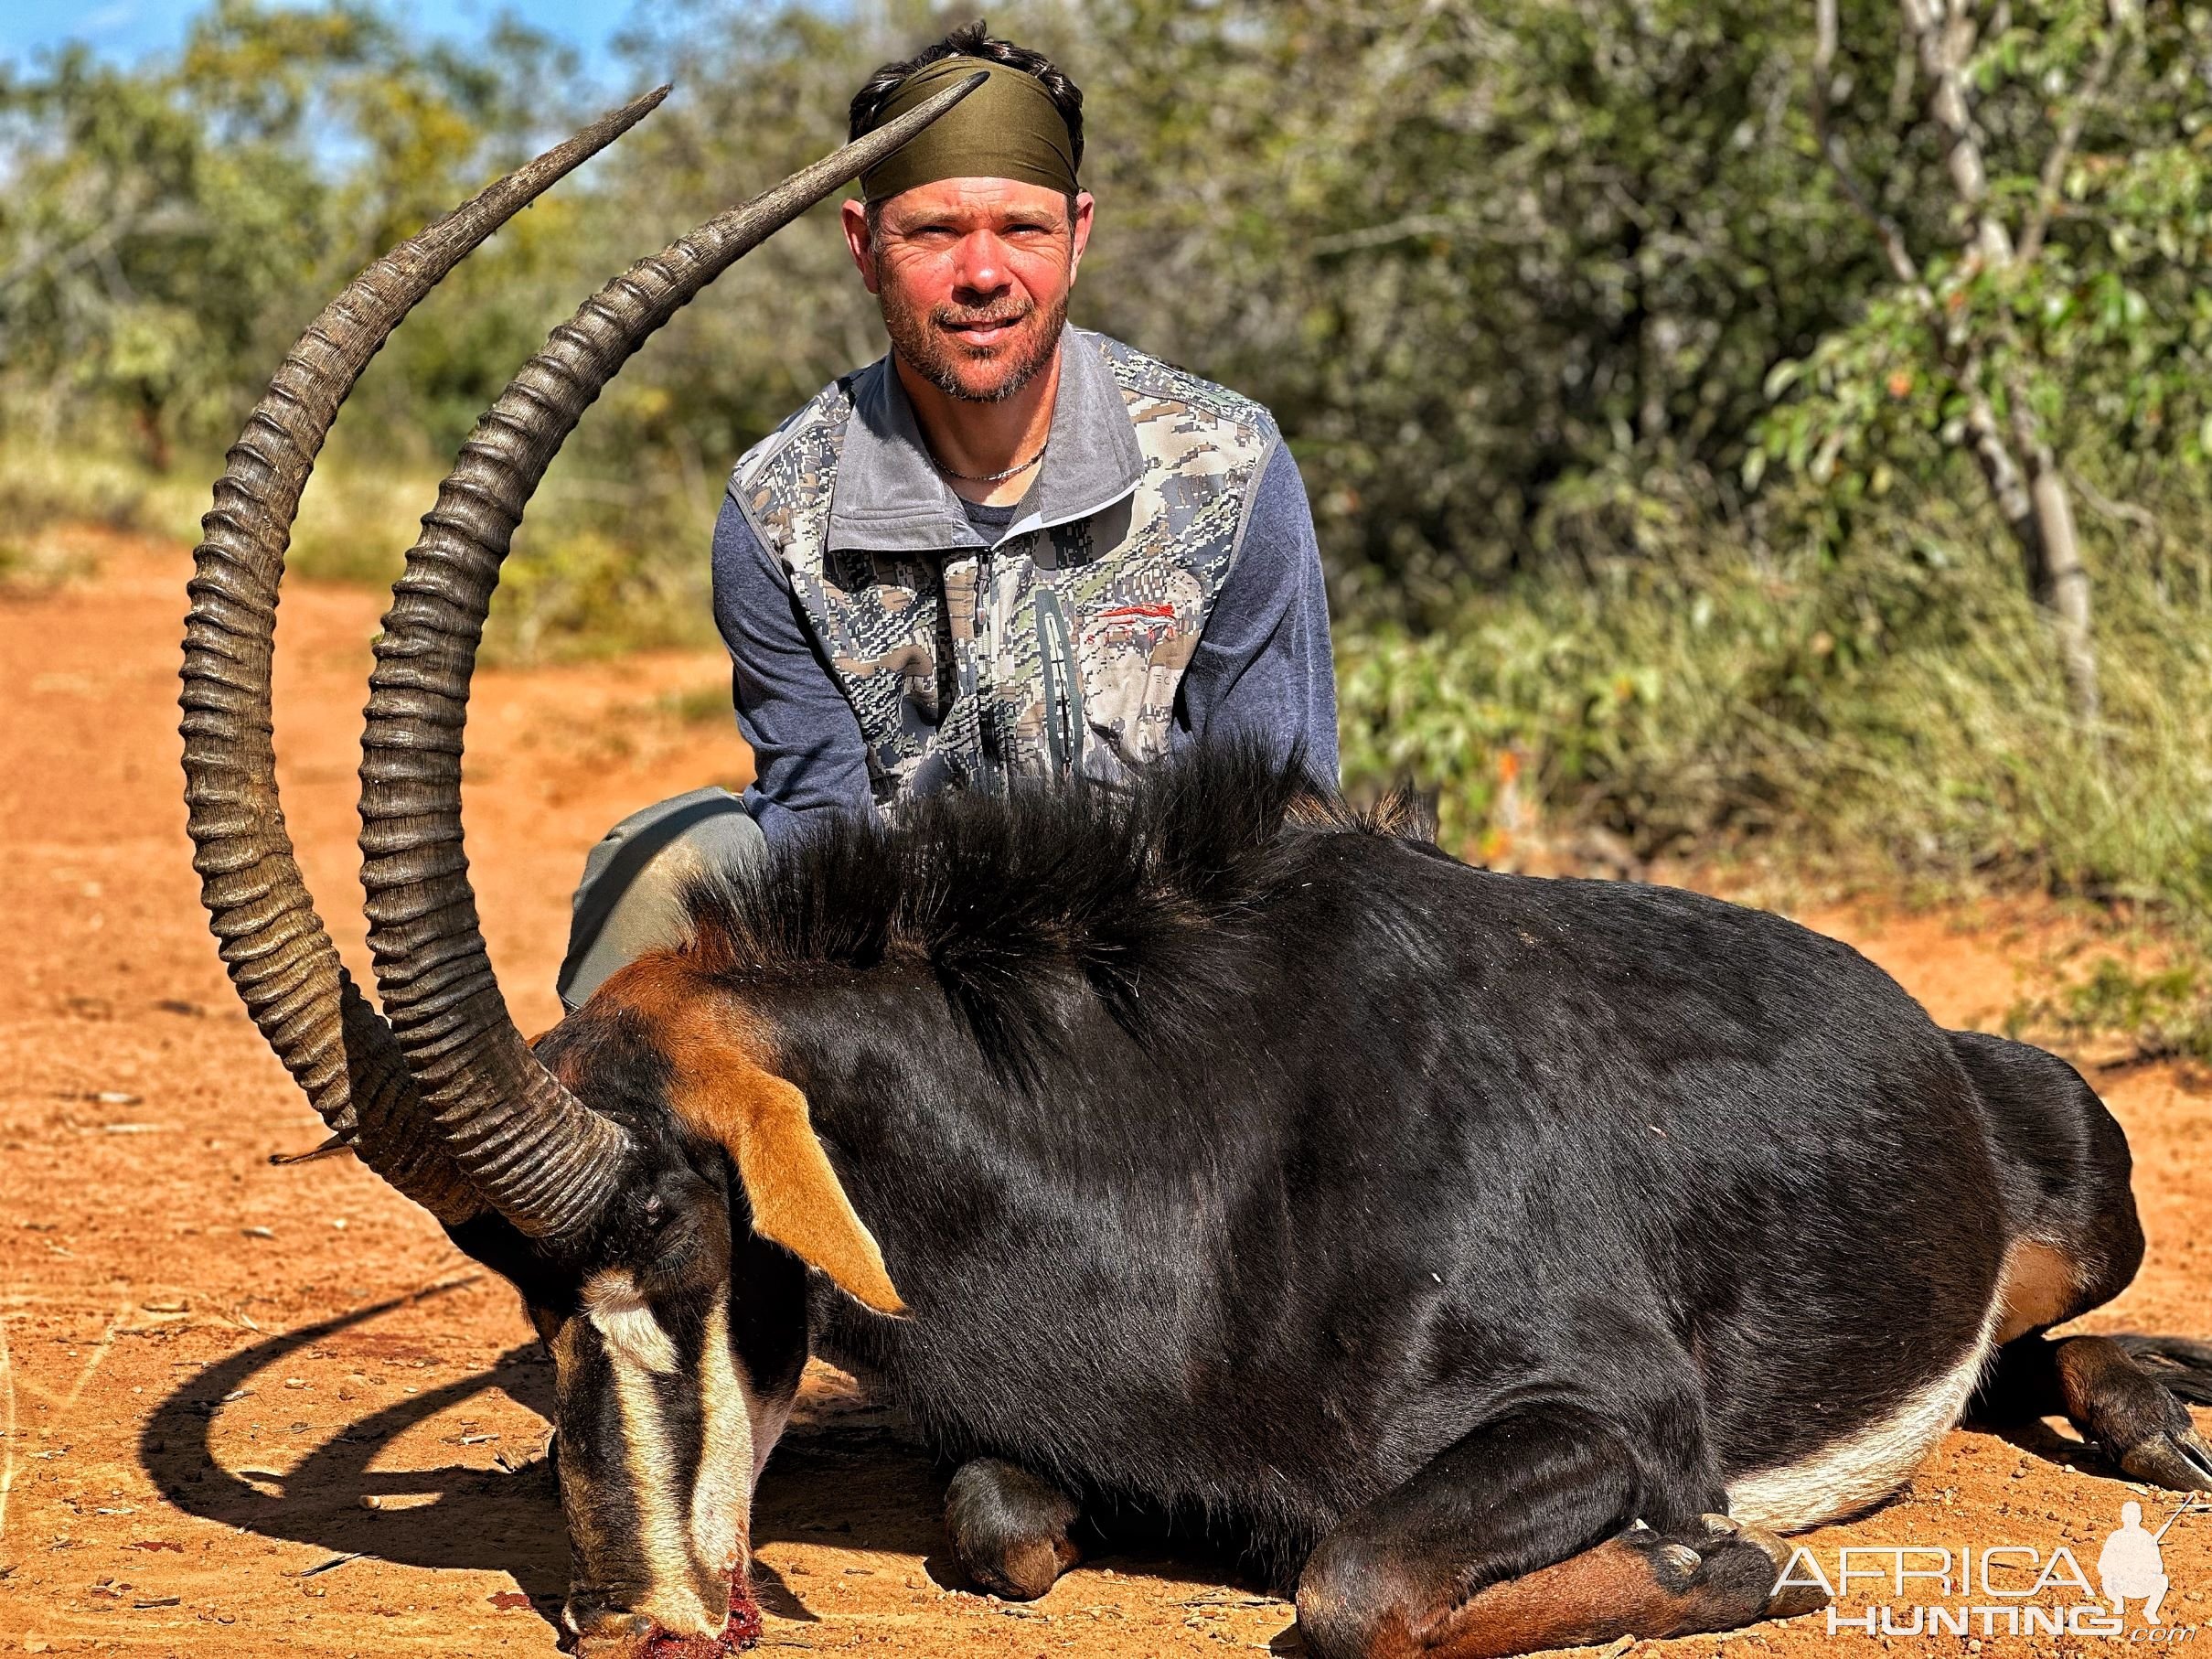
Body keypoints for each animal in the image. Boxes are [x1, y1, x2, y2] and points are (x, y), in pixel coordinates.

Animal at [181, 88, 2212, 1659]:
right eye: (519, 1295)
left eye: (684, 1230)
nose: (636, 1617)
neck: (1200, 1146)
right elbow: (1009, 1516)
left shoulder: (1613, 1412)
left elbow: (1353, 1576)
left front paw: (1747, 1562)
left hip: (2083, 1185)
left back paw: (2149, 1414)